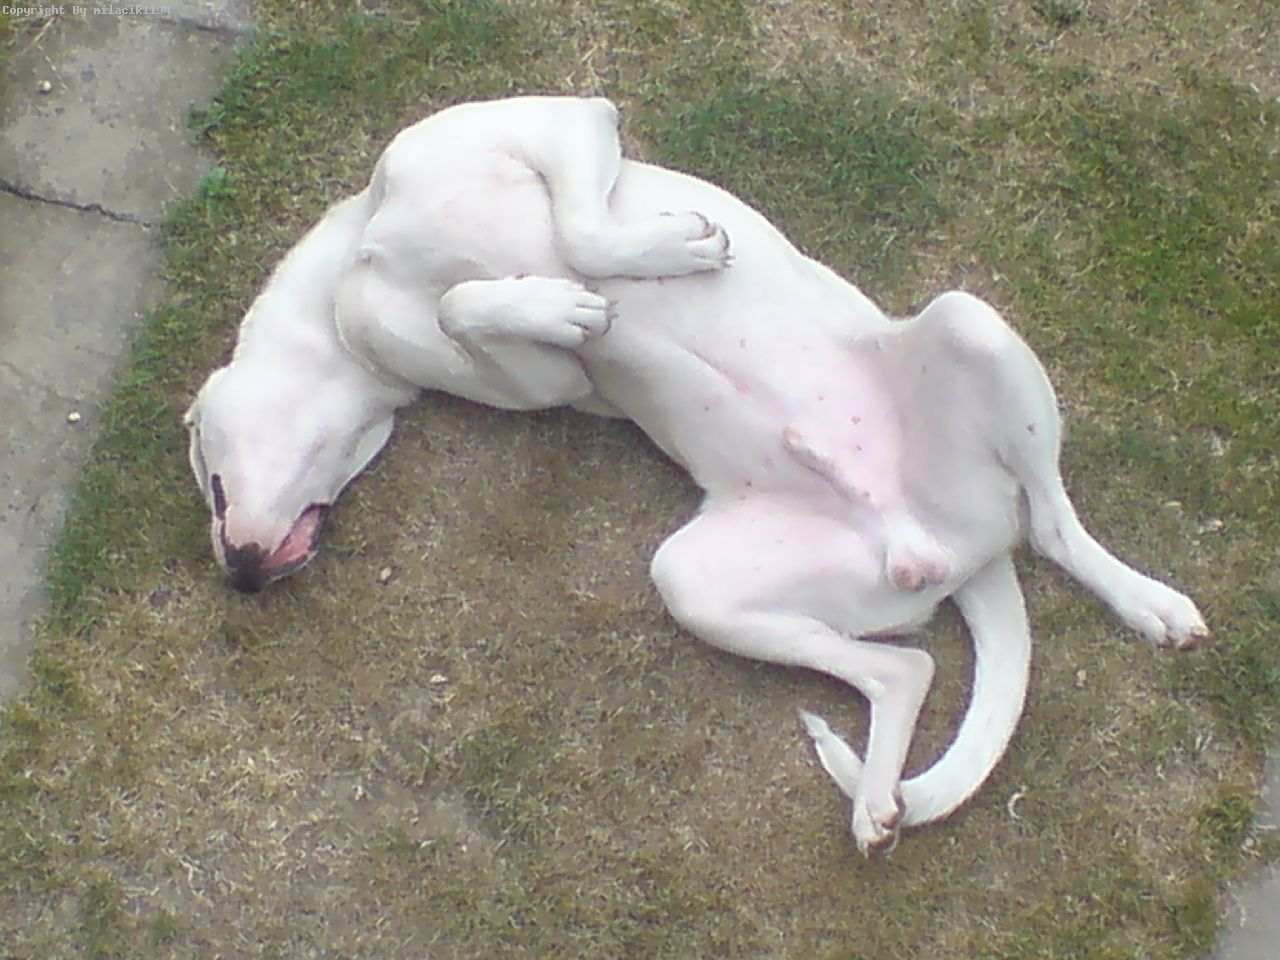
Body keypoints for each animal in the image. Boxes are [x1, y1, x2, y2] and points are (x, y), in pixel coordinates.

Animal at [185, 96, 1208, 851]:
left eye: (206, 477)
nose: (237, 572)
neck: (357, 251)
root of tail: (942, 546)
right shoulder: (534, 380)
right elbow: (478, 312)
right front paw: (556, 304)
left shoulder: (567, 121)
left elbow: (559, 245)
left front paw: (654, 254)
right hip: (699, 581)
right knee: (905, 668)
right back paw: (876, 803)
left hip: (970, 319)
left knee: (1053, 525)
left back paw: (1148, 602)